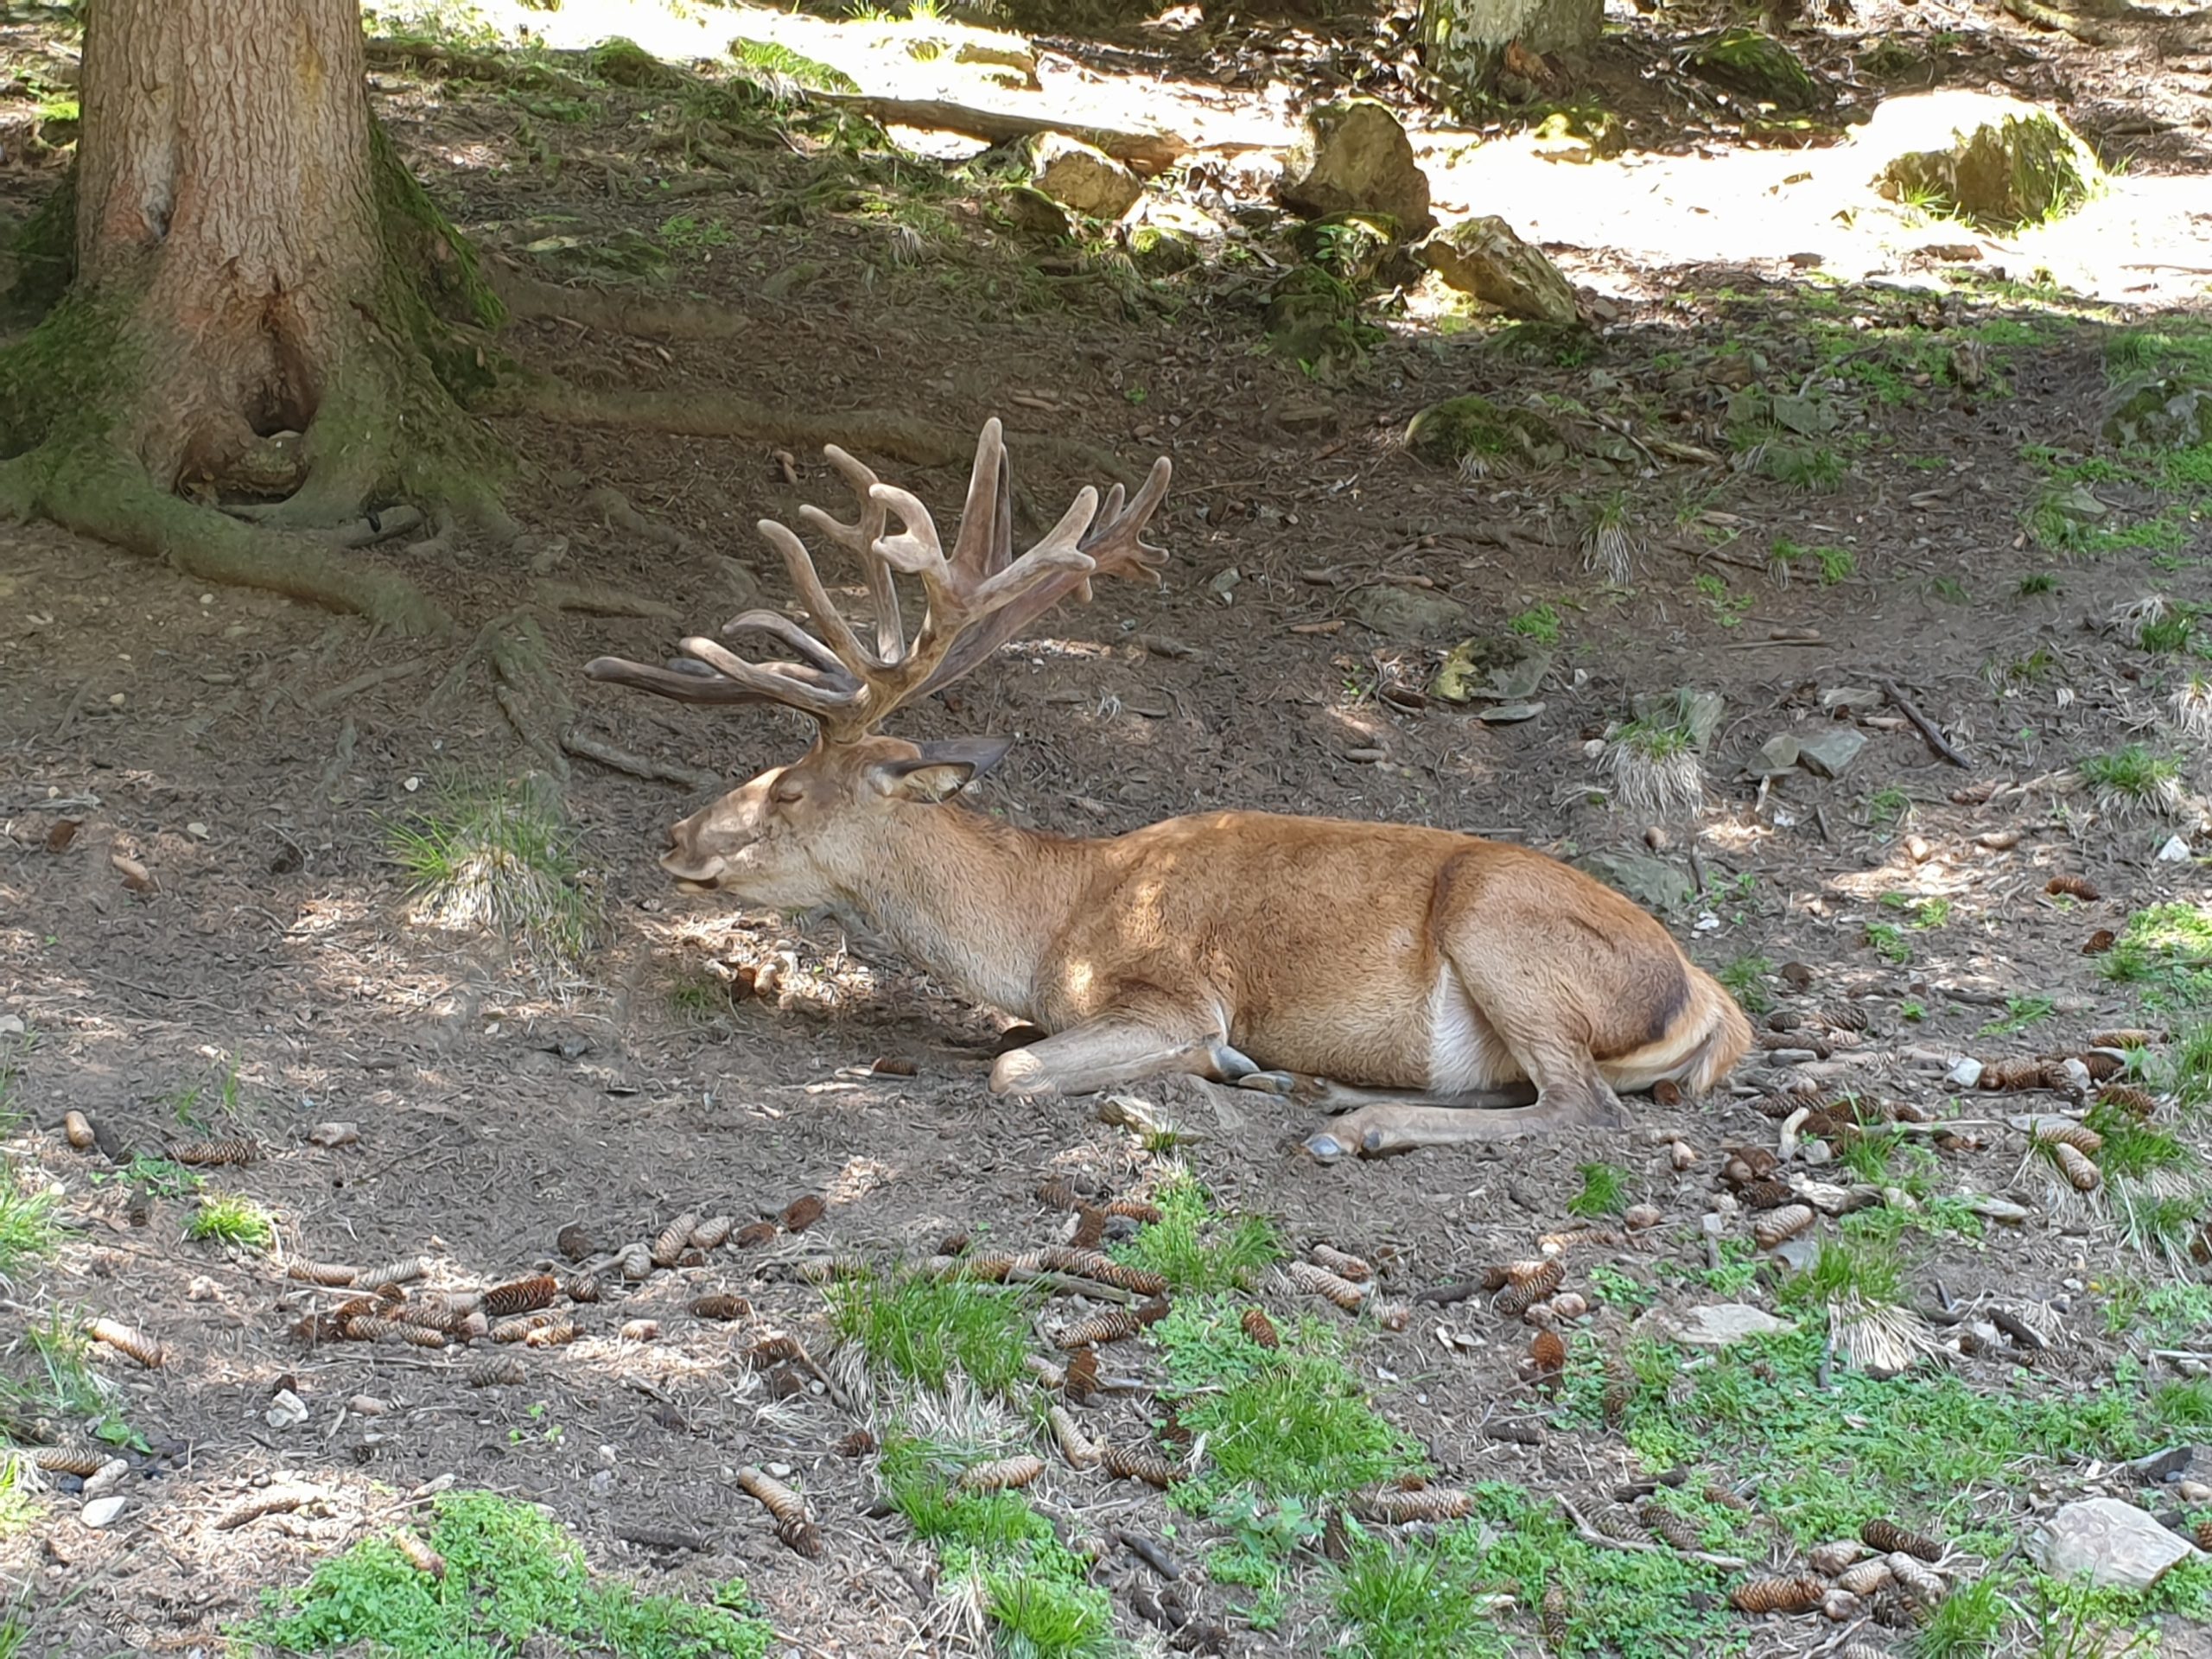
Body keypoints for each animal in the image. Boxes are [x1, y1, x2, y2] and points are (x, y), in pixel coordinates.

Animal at [588, 422, 1743, 1159]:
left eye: (789, 789)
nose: (674, 836)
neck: (1047, 934)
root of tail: (1709, 1002)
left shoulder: (1170, 991)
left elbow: (1017, 1067)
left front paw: (1219, 1067)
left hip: (1503, 926)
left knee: (1585, 1108)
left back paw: (1355, 1125)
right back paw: (1317, 1087)